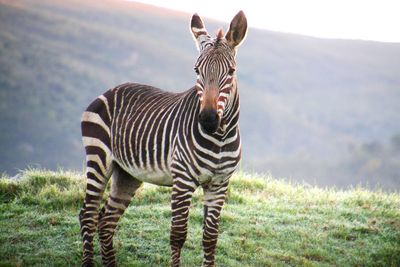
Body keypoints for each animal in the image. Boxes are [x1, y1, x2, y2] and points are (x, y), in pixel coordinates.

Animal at [78, 10, 247, 267]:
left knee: (105, 220)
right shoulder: (183, 179)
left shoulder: (219, 183)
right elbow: (178, 235)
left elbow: (210, 238)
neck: (219, 138)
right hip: (99, 158)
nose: (208, 120)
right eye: (196, 70)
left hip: (126, 173)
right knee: (87, 215)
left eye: (231, 72)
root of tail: (109, 90)